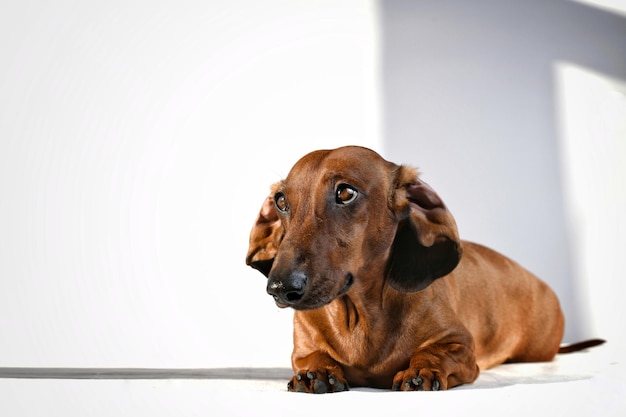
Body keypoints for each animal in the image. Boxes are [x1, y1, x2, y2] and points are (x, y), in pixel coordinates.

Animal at [245, 145, 564, 392]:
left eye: (346, 192)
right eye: (281, 200)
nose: (280, 288)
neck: (358, 315)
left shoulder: (460, 344)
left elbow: (435, 353)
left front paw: (422, 371)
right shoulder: (303, 349)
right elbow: (312, 356)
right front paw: (317, 372)